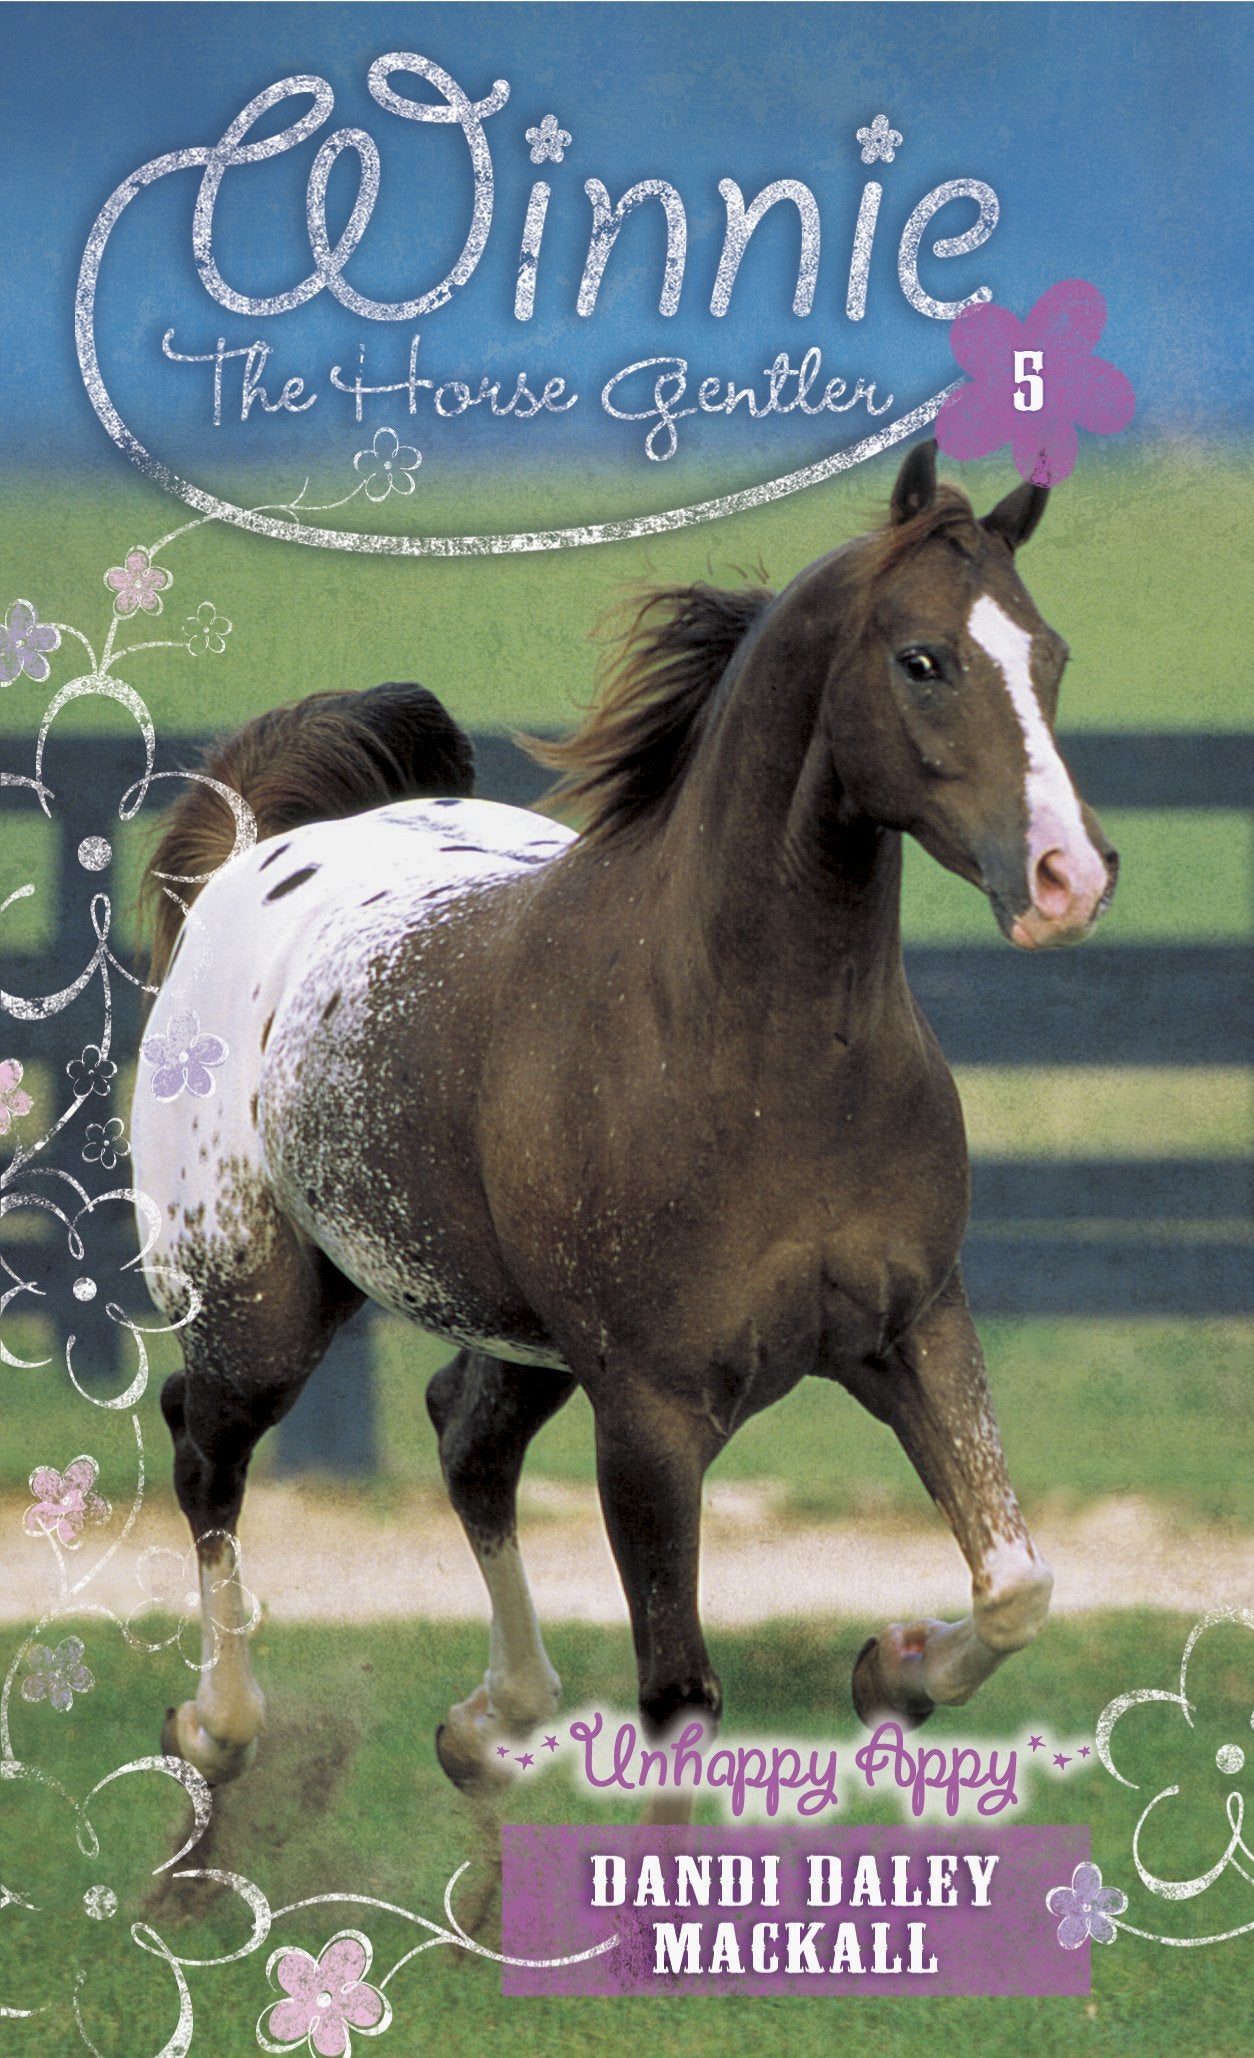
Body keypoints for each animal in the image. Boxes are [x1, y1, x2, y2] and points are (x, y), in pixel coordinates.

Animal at [131, 440, 1117, 1793]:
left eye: (1051, 653)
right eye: (923, 659)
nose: (1071, 878)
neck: (753, 1059)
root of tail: (245, 862)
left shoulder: (913, 1326)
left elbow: (1019, 1582)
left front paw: (893, 1668)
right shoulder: (648, 1416)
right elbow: (680, 1694)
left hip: (511, 1331)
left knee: (465, 1441)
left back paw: (493, 1718)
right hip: (259, 1311)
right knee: (203, 1445)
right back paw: (216, 1727)